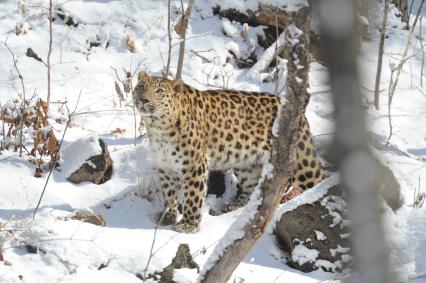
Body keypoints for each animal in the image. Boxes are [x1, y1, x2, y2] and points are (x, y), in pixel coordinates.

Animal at [134, 72, 326, 234]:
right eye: (141, 87)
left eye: (159, 91)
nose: (143, 99)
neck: (158, 126)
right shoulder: (164, 166)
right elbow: (169, 194)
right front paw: (167, 216)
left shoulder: (196, 165)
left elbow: (193, 196)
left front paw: (189, 225)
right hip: (246, 162)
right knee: (250, 188)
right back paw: (234, 208)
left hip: (302, 164)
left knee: (318, 179)